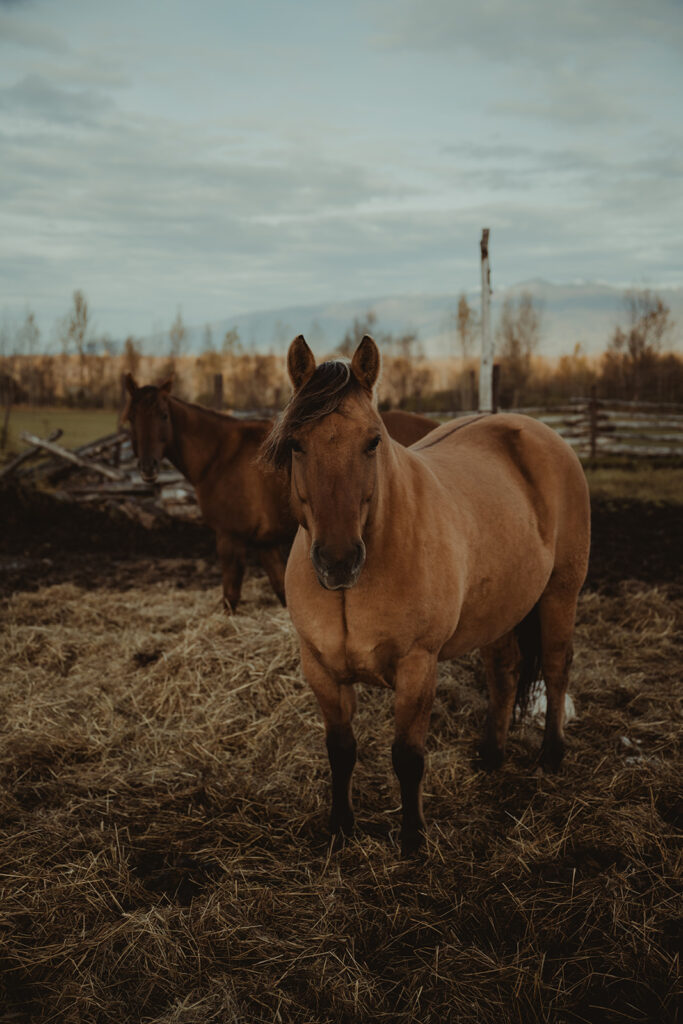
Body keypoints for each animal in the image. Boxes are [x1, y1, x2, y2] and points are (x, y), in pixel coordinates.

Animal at [121, 378, 438, 610]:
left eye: (163, 416)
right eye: (131, 420)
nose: (148, 467)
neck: (221, 455)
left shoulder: (230, 539)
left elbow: (230, 598)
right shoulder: (266, 544)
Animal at [264, 335, 589, 856]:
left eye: (373, 441)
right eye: (296, 443)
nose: (338, 561)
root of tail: (540, 433)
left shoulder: (417, 667)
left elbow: (408, 756)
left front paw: (414, 838)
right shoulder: (321, 669)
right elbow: (340, 750)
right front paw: (340, 826)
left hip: (561, 593)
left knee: (557, 669)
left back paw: (552, 755)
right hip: (499, 610)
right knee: (505, 673)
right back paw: (491, 755)